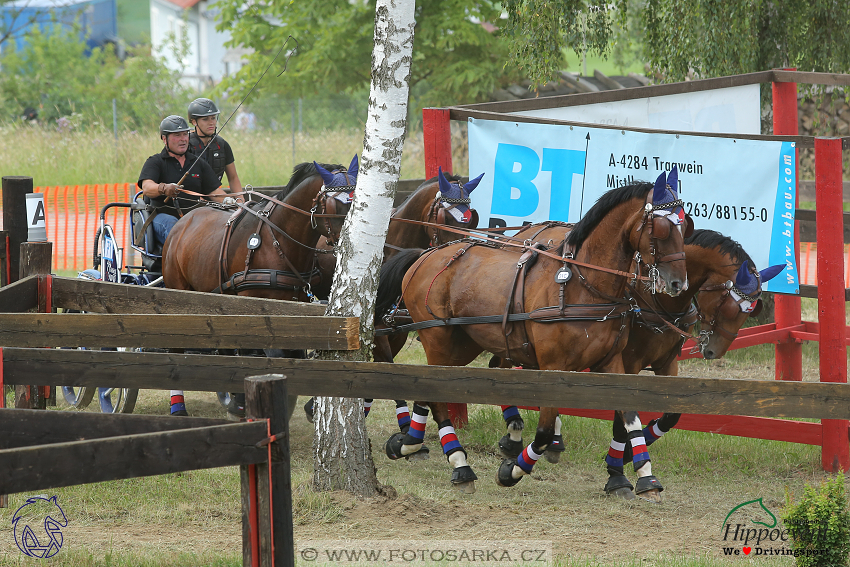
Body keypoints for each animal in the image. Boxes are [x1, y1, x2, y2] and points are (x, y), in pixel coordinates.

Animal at [161, 155, 356, 418]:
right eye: (335, 204)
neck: (278, 242)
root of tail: (182, 222)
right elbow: (261, 354)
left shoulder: (294, 305)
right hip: (178, 292)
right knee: (176, 349)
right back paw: (180, 406)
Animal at [378, 173, 688, 492]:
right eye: (662, 228)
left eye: (685, 224)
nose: (678, 283)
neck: (583, 284)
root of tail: (426, 255)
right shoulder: (553, 366)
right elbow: (544, 431)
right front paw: (512, 471)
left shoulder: (611, 362)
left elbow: (630, 417)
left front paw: (643, 475)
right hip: (438, 338)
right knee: (436, 396)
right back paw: (459, 463)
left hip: (463, 345)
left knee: (430, 390)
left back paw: (409, 443)